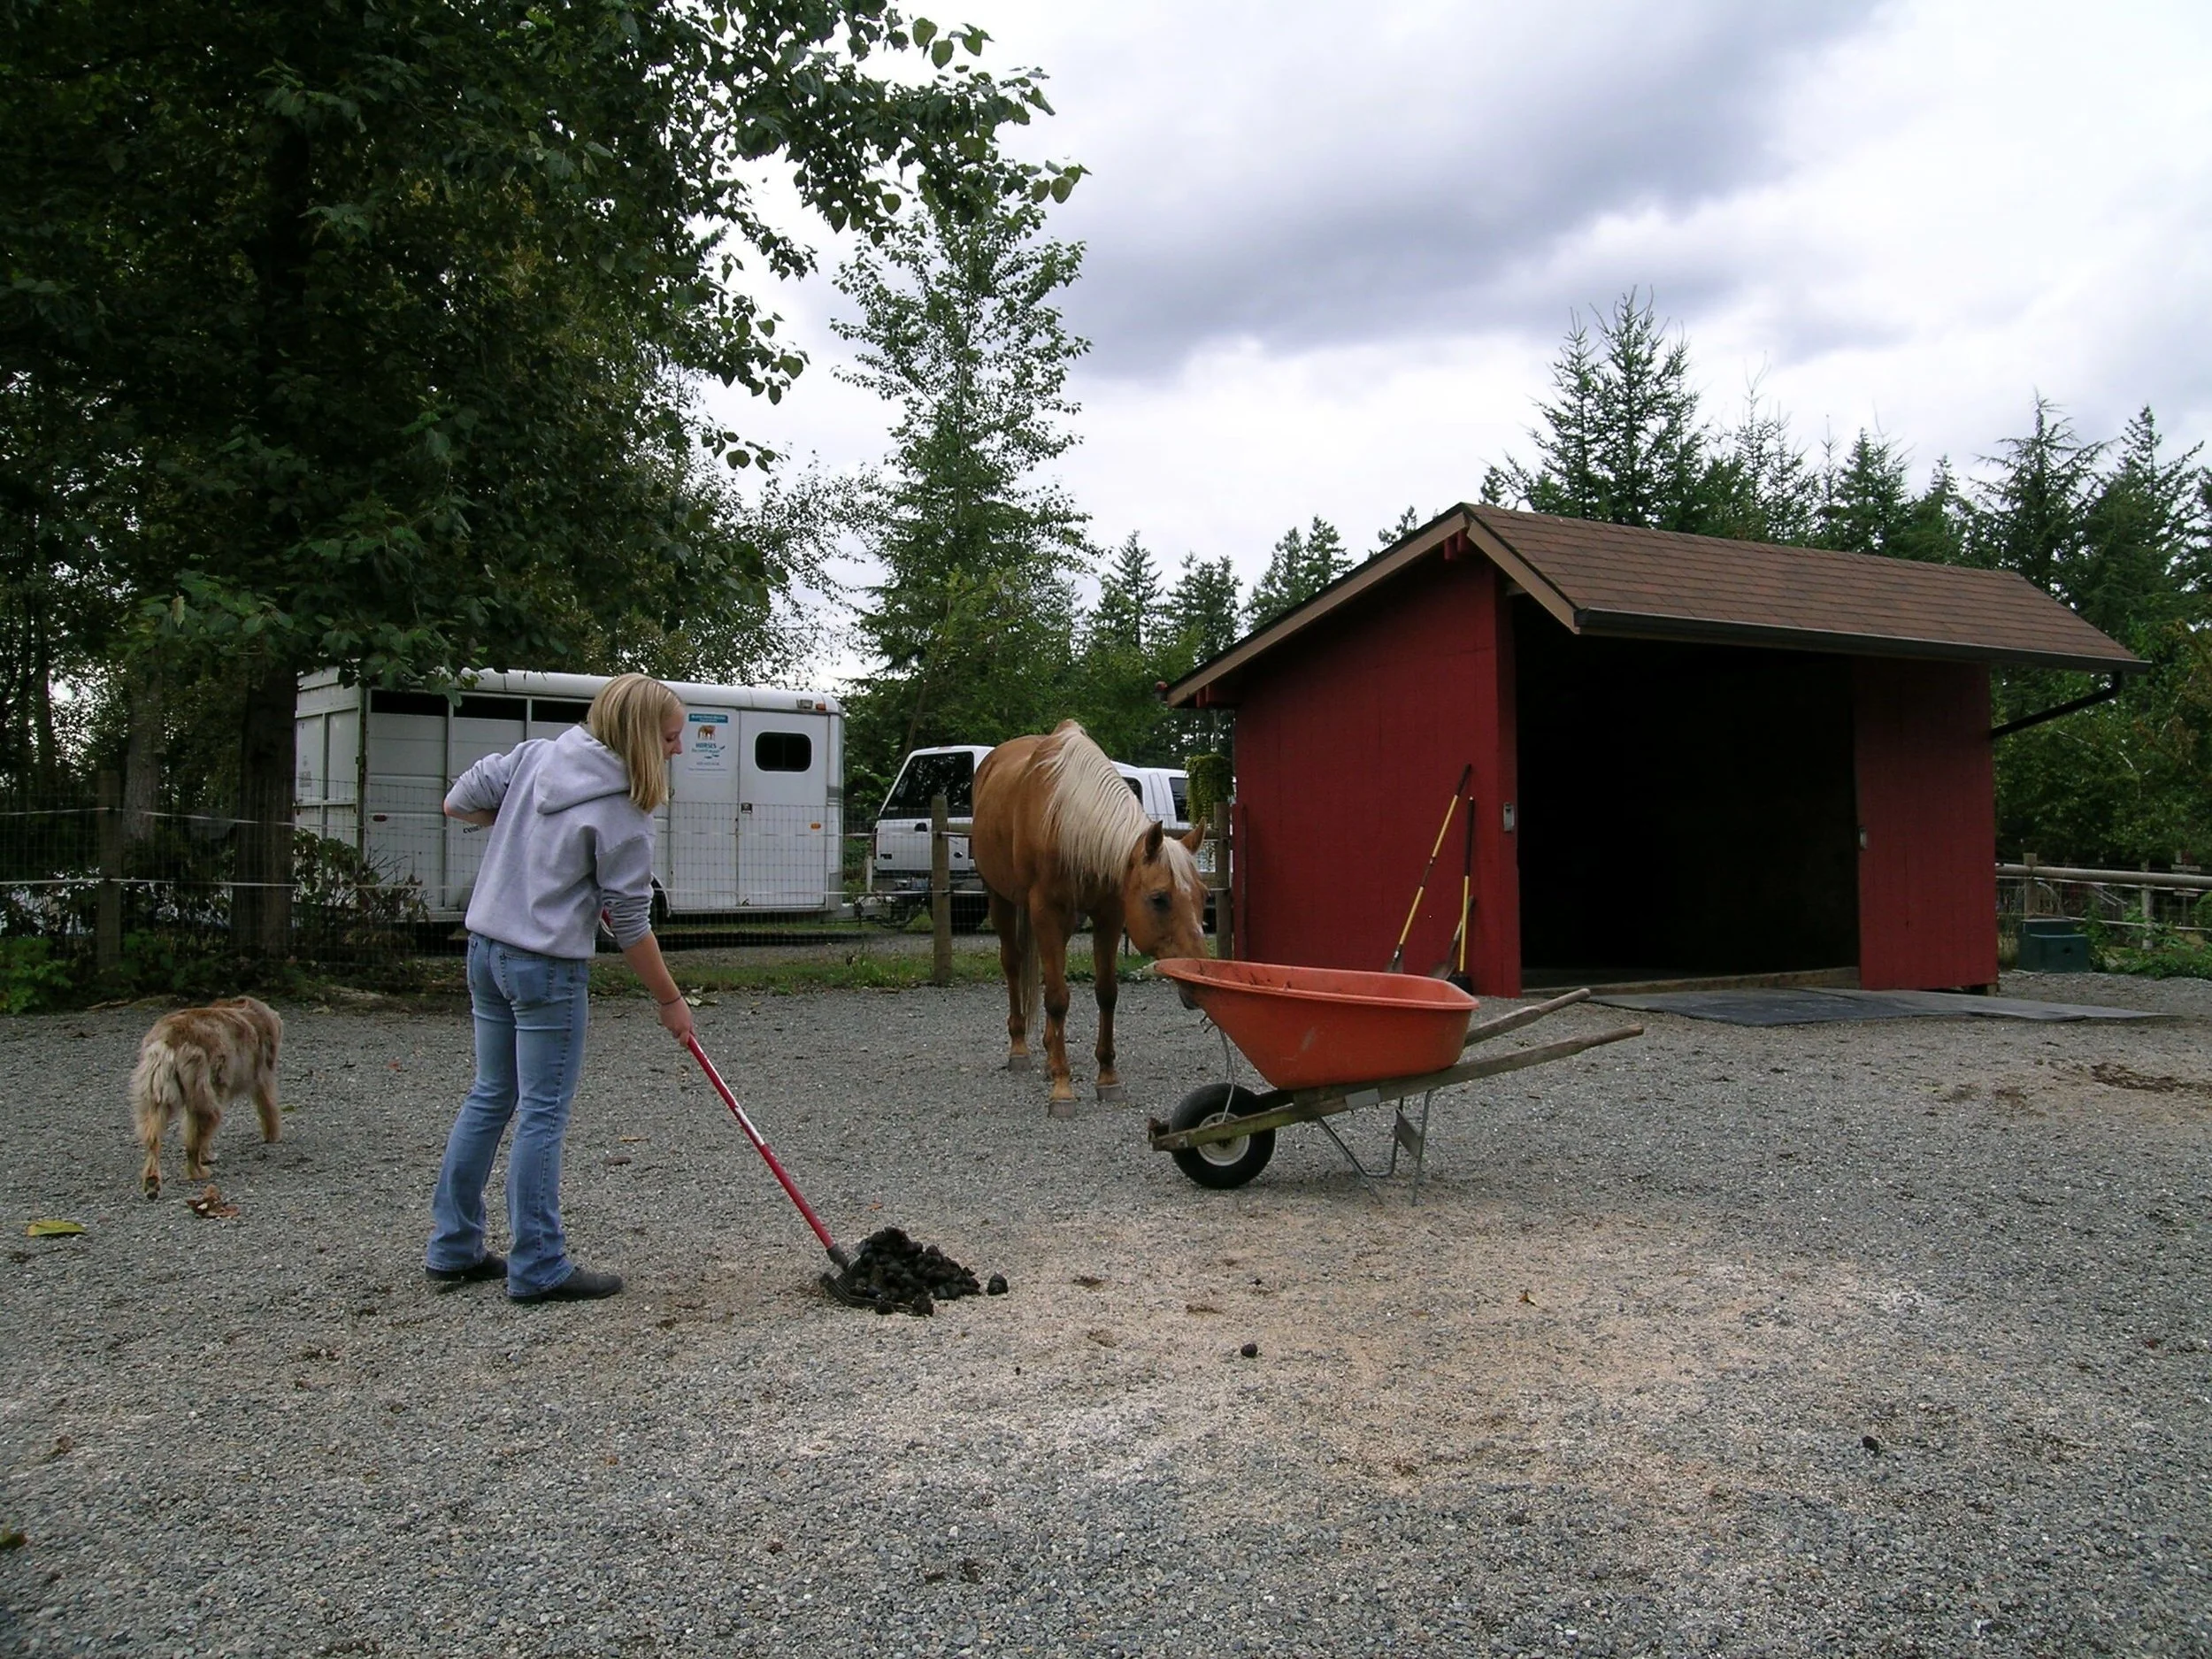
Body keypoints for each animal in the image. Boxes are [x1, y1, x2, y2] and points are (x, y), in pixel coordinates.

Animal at [971, 721, 1210, 1110]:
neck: (1064, 818)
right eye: (1159, 899)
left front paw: (1107, 1077)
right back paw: (1020, 1049)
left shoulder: (1109, 915)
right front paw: (1062, 1088)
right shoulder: (1045, 911)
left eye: (1204, 897)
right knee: (1013, 964)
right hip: (1001, 898)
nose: (1199, 982)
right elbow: (1057, 998)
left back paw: (1050, 1051)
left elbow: (1106, 993)